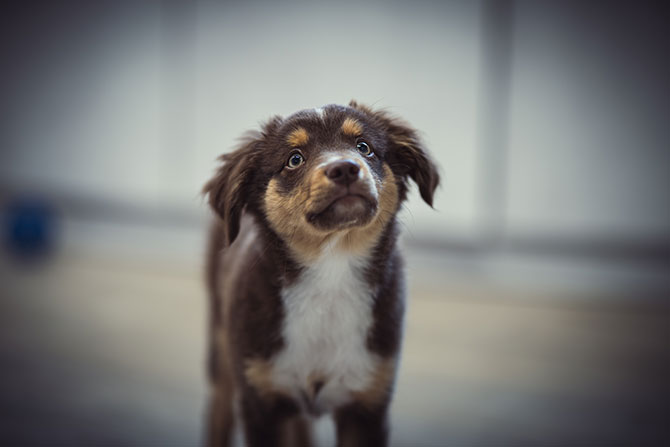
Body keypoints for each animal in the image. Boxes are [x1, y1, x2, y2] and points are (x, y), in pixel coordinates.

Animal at [207, 101, 444, 447]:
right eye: (294, 159)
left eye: (364, 147)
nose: (345, 168)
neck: (331, 270)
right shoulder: (260, 400)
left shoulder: (368, 401)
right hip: (221, 346)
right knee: (219, 409)